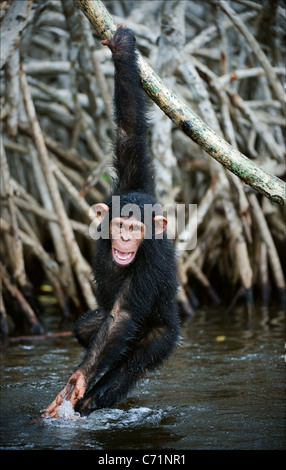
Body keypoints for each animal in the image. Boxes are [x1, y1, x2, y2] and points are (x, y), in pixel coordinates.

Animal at [43, 24, 180, 418]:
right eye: (121, 225)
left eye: (137, 229)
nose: (126, 239)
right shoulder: (129, 183)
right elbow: (130, 133)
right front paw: (121, 52)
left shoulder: (152, 258)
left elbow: (122, 317)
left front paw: (78, 381)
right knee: (88, 328)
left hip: (165, 335)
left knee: (131, 361)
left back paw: (94, 398)